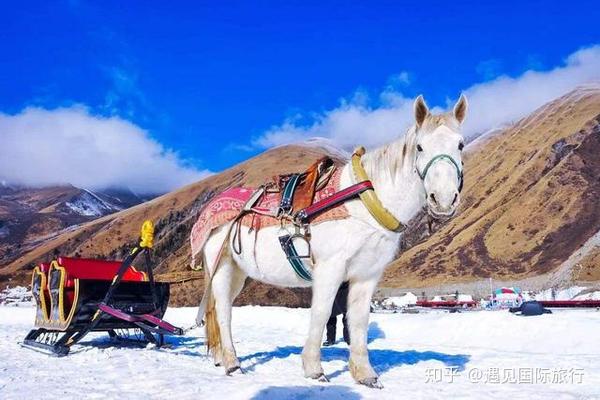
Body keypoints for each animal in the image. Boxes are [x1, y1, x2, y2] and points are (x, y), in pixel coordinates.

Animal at [199, 94, 466, 388]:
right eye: (420, 147)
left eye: (460, 144)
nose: (443, 200)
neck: (363, 202)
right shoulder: (330, 268)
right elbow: (321, 312)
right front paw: (314, 369)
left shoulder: (366, 274)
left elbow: (358, 320)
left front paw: (365, 374)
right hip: (222, 267)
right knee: (223, 312)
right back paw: (232, 363)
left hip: (239, 274)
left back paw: (221, 358)